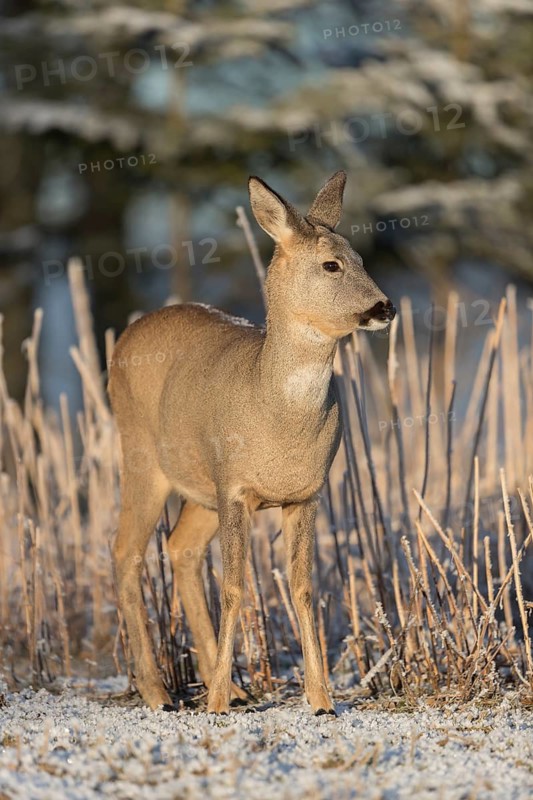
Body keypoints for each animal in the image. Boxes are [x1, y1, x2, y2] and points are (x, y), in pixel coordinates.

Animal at [108, 171, 395, 715]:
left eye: (362, 257)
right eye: (331, 263)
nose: (384, 307)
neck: (279, 417)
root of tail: (127, 336)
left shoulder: (306, 492)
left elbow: (302, 588)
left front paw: (320, 699)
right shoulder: (235, 487)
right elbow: (235, 586)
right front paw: (216, 703)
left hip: (199, 489)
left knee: (180, 549)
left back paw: (235, 689)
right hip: (141, 456)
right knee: (126, 552)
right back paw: (160, 692)